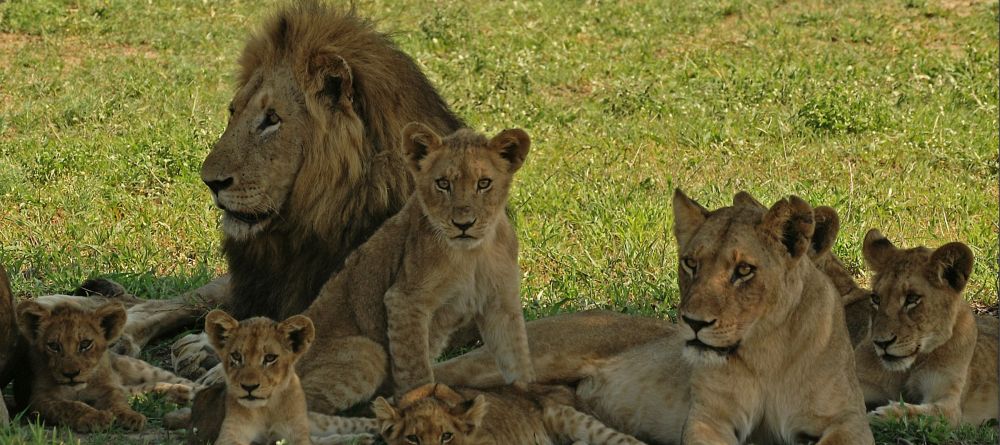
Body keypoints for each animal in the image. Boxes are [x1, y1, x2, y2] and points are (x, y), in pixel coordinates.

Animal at [14, 296, 198, 432]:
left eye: (85, 344)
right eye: (53, 346)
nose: (71, 374)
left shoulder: (109, 387)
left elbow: (117, 402)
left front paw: (130, 417)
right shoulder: (40, 398)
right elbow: (70, 406)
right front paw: (95, 418)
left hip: (137, 367)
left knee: (174, 380)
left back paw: (190, 391)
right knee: (141, 390)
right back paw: (178, 394)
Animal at [205, 310, 317, 445]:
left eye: (270, 358)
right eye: (236, 356)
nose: (249, 387)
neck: (266, 409)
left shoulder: (298, 430)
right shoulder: (230, 432)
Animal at [855, 230, 998, 426]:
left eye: (912, 298)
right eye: (876, 299)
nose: (881, 343)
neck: (910, 366)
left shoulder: (949, 406)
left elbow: (916, 413)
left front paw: (882, 414)